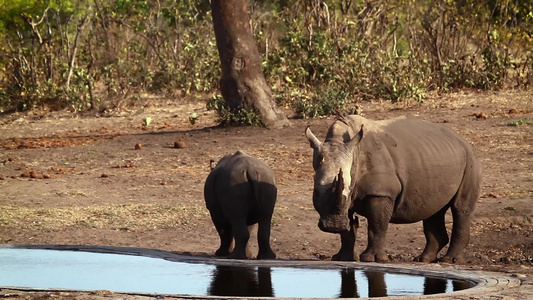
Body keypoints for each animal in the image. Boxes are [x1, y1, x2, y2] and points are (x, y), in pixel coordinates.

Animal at [304, 115, 482, 262]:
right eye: (316, 192)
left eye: (347, 189)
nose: (332, 226)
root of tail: (461, 139)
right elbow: (347, 231)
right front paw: (343, 258)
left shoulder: (381, 193)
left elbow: (377, 225)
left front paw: (372, 259)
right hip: (437, 157)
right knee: (433, 210)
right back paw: (423, 259)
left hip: (470, 160)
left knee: (460, 208)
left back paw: (449, 260)